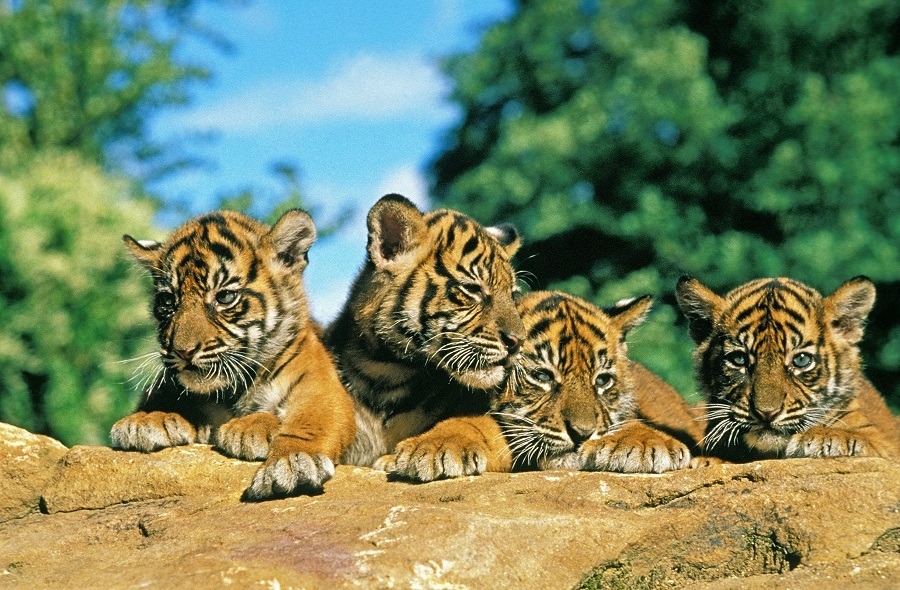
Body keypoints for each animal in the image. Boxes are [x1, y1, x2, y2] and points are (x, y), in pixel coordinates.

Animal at [110, 209, 356, 500]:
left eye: (225, 297)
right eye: (168, 302)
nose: (183, 351)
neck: (235, 388)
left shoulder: (320, 388)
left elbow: (309, 424)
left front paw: (291, 463)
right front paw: (147, 419)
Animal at [324, 194, 526, 467]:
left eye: (512, 295)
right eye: (472, 289)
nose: (518, 342)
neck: (386, 373)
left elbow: (474, 422)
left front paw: (436, 446)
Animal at [379, 290, 703, 480]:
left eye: (602, 380)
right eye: (543, 376)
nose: (582, 434)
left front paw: (644, 442)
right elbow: (472, 423)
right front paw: (434, 446)